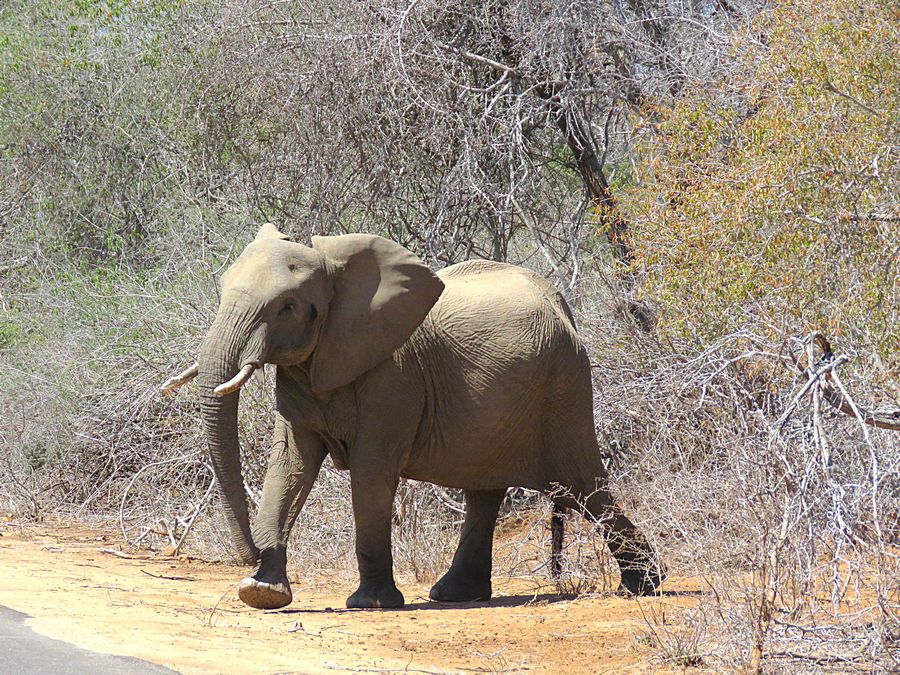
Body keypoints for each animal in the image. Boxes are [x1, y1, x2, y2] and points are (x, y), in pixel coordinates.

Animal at [162, 224, 663, 609]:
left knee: (584, 484)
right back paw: (455, 594)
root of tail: (563, 302)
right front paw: (262, 592)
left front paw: (371, 603)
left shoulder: (395, 376)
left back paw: (644, 586)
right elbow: (290, 466)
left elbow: (370, 471)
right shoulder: (304, 371)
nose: (250, 552)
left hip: (564, 387)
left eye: (287, 306)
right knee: (487, 489)